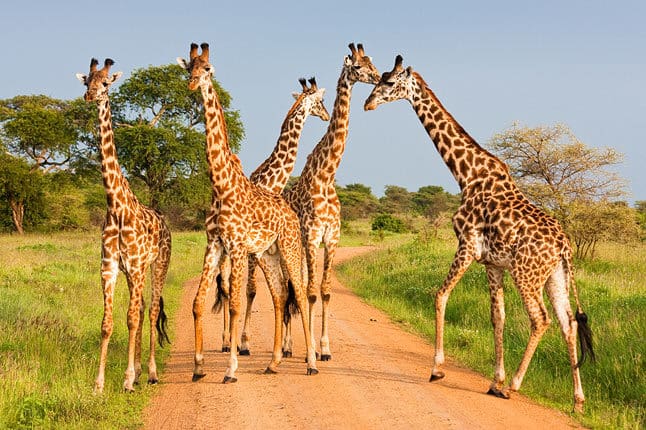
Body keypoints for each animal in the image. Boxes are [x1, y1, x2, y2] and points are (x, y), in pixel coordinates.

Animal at [76, 58, 172, 393]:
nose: (90, 96)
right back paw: (142, 371)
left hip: (157, 265)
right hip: (136, 272)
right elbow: (107, 323)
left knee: (151, 310)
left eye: (106, 84)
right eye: (86, 81)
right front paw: (99, 384)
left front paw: (128, 380)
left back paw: (151, 372)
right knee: (142, 310)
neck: (115, 206)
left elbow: (130, 318)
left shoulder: (136, 264)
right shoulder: (110, 267)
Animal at [177, 43, 318, 382]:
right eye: (188, 67)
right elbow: (199, 302)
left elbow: (237, 305)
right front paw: (199, 367)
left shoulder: (238, 247)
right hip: (268, 253)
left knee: (300, 295)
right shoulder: (215, 245)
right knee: (280, 295)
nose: (192, 84)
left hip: (289, 248)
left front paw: (231, 368)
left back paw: (311, 363)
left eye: (207, 69)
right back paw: (274, 363)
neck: (221, 184)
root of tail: (290, 213)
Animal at [214, 77, 330, 355]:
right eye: (320, 101)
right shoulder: (253, 250)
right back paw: (226, 341)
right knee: (225, 287)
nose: (326, 115)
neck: (270, 182)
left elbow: (277, 290)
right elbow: (251, 291)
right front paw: (244, 343)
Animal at [281, 43, 380, 360]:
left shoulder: (332, 237)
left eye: (372, 62)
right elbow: (310, 292)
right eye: (358, 67)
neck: (326, 176)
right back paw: (288, 345)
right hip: (292, 246)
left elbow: (324, 291)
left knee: (297, 286)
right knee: (291, 287)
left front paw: (324, 348)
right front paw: (310, 348)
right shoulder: (312, 237)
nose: (379, 78)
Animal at [364, 55, 595, 413]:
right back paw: (578, 400)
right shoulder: (492, 263)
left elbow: (440, 295)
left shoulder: (467, 246)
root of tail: (563, 246)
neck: (466, 174)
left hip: (526, 273)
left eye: (388, 82)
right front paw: (493, 381)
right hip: (555, 275)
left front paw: (438, 369)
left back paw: (515, 385)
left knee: (541, 318)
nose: (368, 103)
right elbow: (497, 317)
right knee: (567, 322)